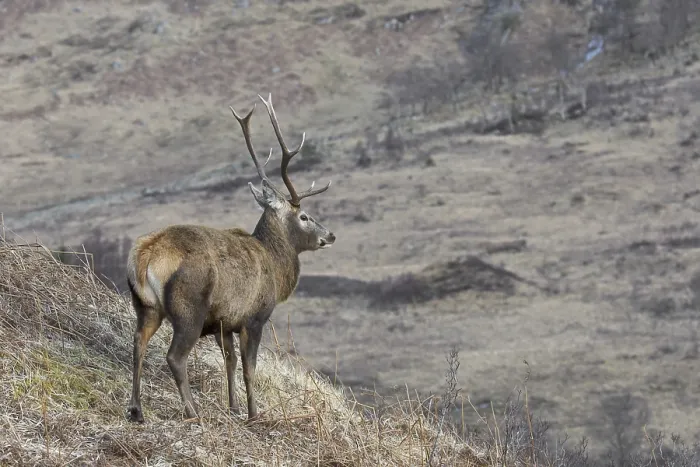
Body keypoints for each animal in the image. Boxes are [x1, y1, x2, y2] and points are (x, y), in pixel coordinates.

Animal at [125, 93, 336, 423]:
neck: (276, 267)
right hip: (189, 308)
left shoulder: (224, 322)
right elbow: (249, 367)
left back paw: (136, 409)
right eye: (304, 216)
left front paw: (234, 407)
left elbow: (230, 361)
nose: (330, 235)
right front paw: (253, 414)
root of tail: (145, 256)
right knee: (175, 356)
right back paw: (193, 412)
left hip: (146, 306)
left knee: (137, 343)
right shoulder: (254, 317)